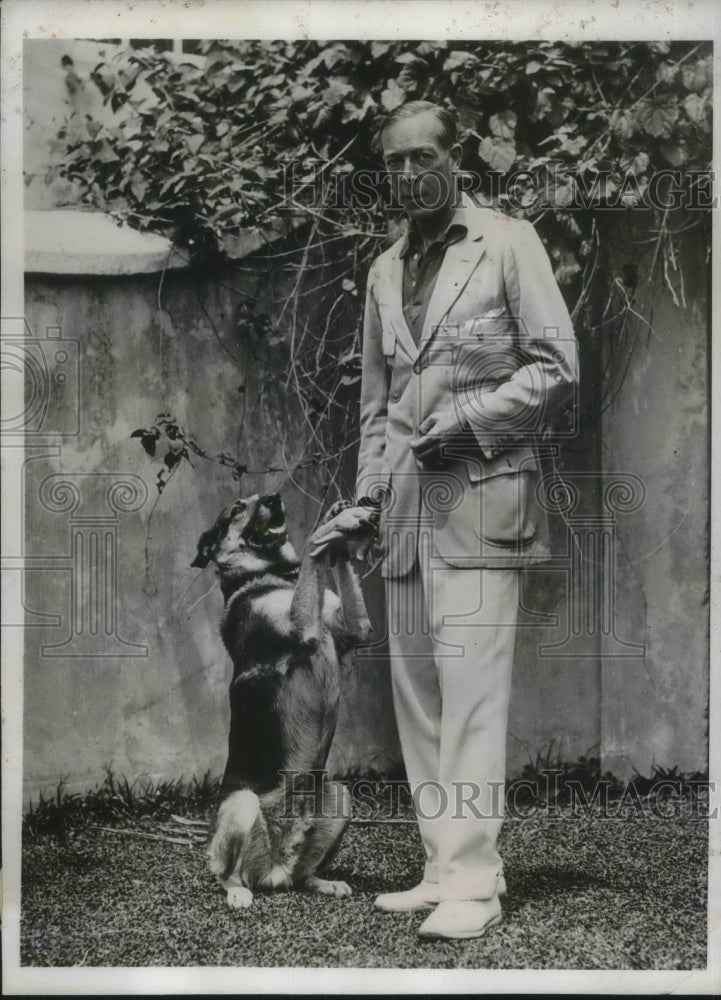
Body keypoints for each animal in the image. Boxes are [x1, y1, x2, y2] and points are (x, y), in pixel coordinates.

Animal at [188, 492, 374, 908]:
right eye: (236, 509)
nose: (274, 498)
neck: (274, 577)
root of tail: (275, 872)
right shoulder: (300, 628)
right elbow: (313, 544)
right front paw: (333, 525)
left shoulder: (355, 629)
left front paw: (343, 520)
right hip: (242, 805)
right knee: (228, 874)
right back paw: (237, 892)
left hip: (339, 795)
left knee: (303, 874)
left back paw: (321, 882)